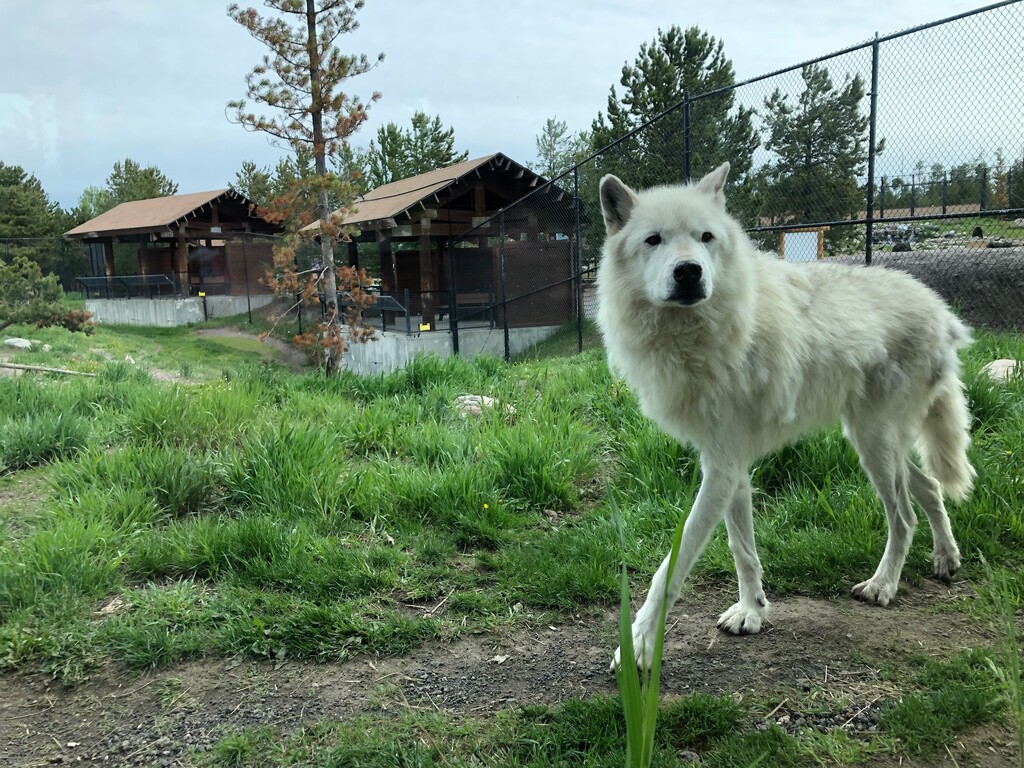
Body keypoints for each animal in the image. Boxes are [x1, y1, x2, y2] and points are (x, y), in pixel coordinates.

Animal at [597, 163, 975, 669]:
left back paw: (883, 586)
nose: (690, 271)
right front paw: (752, 611)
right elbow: (742, 549)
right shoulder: (729, 467)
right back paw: (946, 560)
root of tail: (942, 311)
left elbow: (670, 569)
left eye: (705, 237)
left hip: (874, 445)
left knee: (905, 517)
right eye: (653, 240)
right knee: (930, 486)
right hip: (878, 442)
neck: (695, 335)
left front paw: (636, 647)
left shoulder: (720, 470)